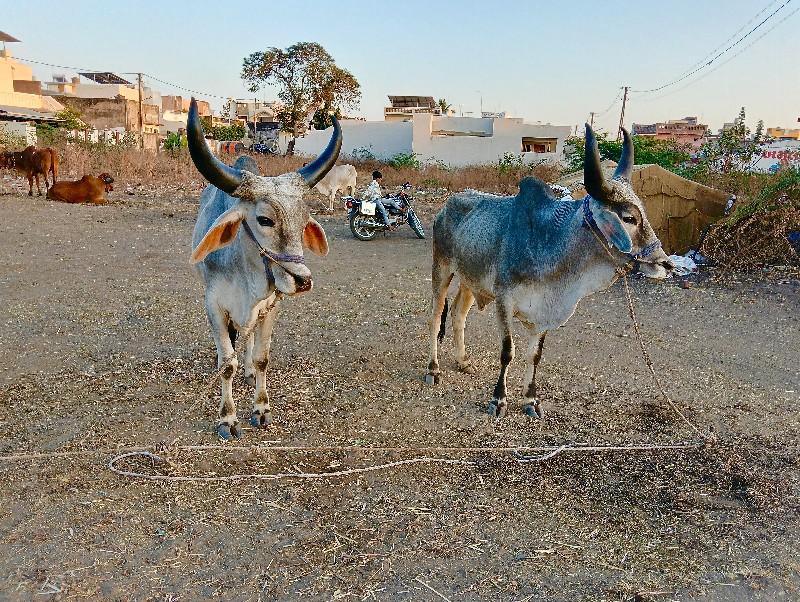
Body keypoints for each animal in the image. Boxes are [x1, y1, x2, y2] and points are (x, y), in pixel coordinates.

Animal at [189, 97, 342, 436]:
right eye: (264, 219)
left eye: (303, 221)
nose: (302, 281)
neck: (246, 276)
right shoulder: (213, 306)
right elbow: (227, 363)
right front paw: (227, 418)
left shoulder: (271, 305)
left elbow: (261, 357)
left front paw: (260, 408)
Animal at [424, 123, 676, 418]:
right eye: (629, 217)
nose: (666, 264)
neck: (548, 241)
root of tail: (448, 204)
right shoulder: (504, 300)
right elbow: (507, 351)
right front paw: (499, 400)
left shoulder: (544, 311)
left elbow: (534, 355)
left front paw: (530, 400)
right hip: (442, 268)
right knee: (435, 317)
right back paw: (433, 370)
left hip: (470, 280)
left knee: (458, 315)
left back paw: (463, 361)